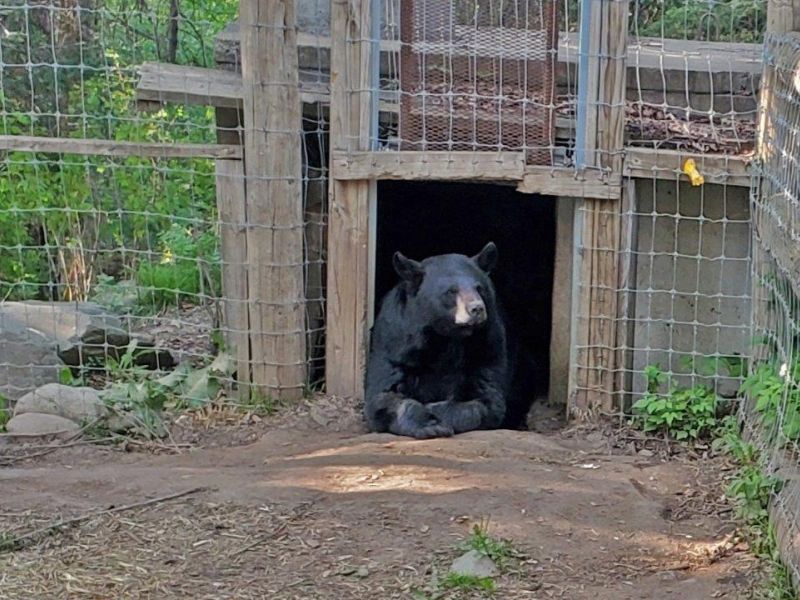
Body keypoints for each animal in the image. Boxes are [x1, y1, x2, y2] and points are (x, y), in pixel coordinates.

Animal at [364, 242, 530, 439]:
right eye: (451, 291)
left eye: (479, 288)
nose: (477, 308)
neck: (447, 336)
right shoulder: (395, 344)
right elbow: (384, 394)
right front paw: (429, 425)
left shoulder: (489, 344)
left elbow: (487, 398)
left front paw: (437, 412)